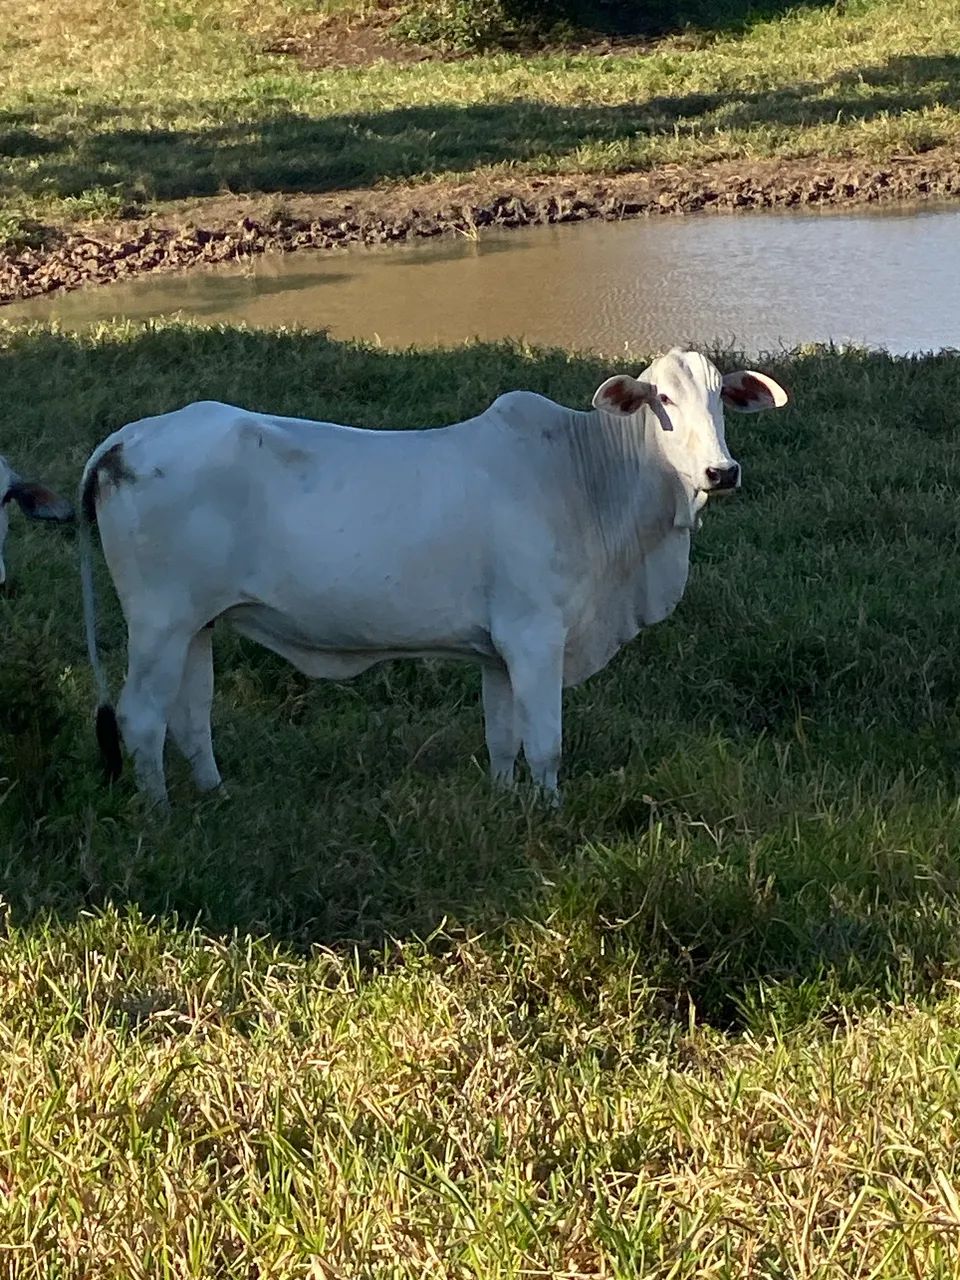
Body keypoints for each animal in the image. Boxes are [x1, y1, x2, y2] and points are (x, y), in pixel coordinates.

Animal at [78, 349, 788, 807]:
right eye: (662, 399)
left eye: (722, 398)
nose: (722, 471)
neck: (587, 477)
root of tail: (124, 441)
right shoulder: (535, 637)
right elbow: (546, 745)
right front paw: (551, 816)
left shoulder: (498, 652)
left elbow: (503, 740)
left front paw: (505, 803)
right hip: (159, 621)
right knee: (142, 717)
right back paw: (161, 815)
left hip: (196, 624)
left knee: (190, 717)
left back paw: (215, 796)